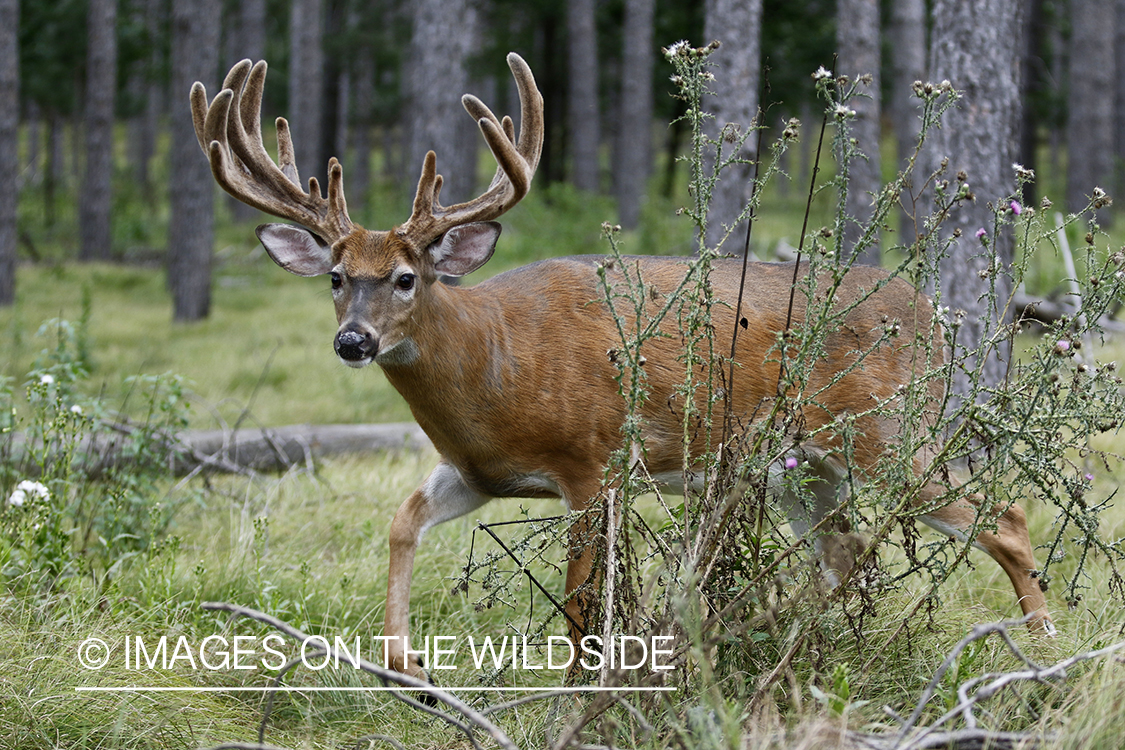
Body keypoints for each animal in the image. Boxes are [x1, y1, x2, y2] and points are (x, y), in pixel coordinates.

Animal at [193, 52, 1053, 679]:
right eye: (337, 278)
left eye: (407, 278)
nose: (354, 342)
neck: (494, 369)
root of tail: (927, 313)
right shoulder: (475, 469)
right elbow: (402, 519)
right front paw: (403, 664)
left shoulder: (592, 460)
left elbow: (581, 603)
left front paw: (577, 691)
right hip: (802, 466)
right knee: (844, 556)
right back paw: (785, 644)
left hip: (887, 431)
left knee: (1004, 517)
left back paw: (1043, 649)